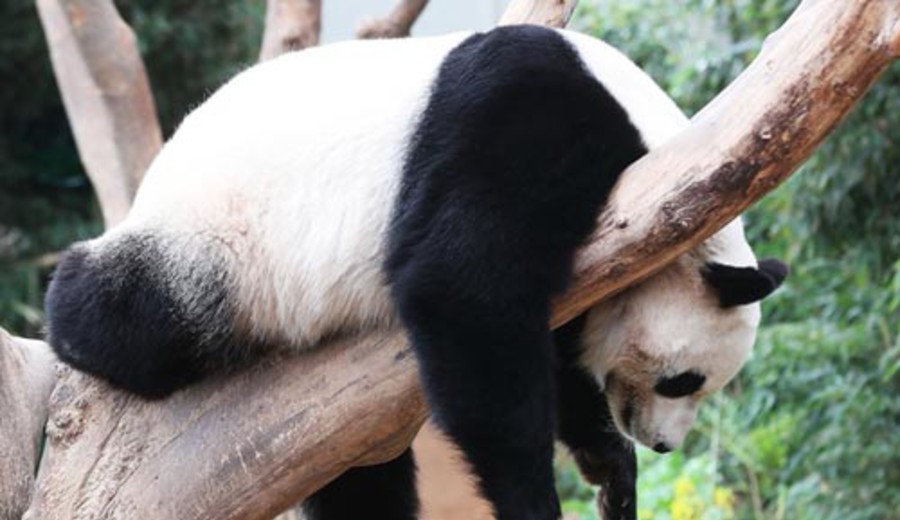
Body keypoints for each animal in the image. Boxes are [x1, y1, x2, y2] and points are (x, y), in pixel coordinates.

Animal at [45, 25, 787, 520]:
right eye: (684, 380)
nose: (663, 443)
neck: (658, 151)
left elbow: (554, 348)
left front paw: (612, 468)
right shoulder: (526, 119)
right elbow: (461, 290)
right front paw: (534, 498)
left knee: (358, 482)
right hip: (218, 243)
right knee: (136, 312)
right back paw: (72, 320)